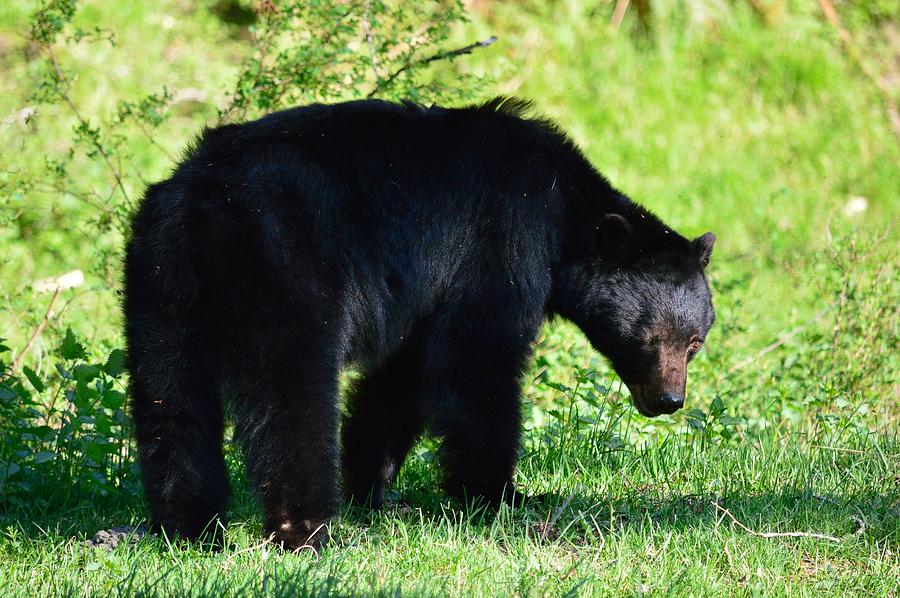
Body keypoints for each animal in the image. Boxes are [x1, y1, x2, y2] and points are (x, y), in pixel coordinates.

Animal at [125, 96, 716, 552]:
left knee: (170, 402)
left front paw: (373, 485)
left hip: (162, 283)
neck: (562, 207)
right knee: (292, 398)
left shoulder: (426, 293)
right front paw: (501, 496)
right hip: (285, 274)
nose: (669, 401)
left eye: (694, 342)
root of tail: (206, 202)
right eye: (649, 337)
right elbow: (476, 363)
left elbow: (403, 379)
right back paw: (307, 530)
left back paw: (190, 528)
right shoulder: (500, 239)